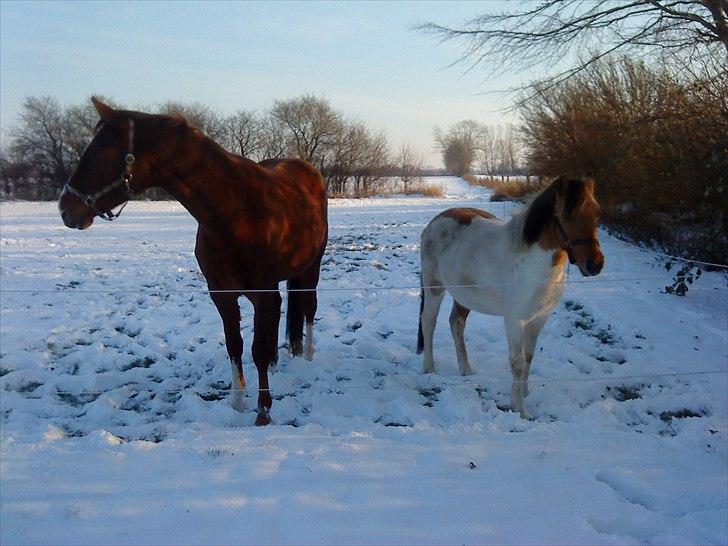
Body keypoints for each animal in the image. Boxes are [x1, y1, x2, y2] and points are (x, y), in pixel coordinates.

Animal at [58, 99, 326, 424]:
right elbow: (235, 345)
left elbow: (258, 350)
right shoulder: (222, 295)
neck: (237, 212)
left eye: (103, 153)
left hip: (311, 268)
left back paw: (309, 356)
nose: (65, 209)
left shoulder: (262, 294)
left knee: (309, 308)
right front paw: (237, 403)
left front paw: (263, 413)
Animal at [418, 174, 604, 416]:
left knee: (456, 323)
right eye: (567, 214)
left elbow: (528, 357)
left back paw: (466, 369)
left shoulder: (539, 319)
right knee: (429, 323)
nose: (595, 264)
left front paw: (524, 393)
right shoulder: (515, 321)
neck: (535, 264)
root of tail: (434, 222)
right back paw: (430, 369)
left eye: (597, 213)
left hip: (464, 295)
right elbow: (517, 362)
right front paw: (520, 410)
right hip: (434, 288)